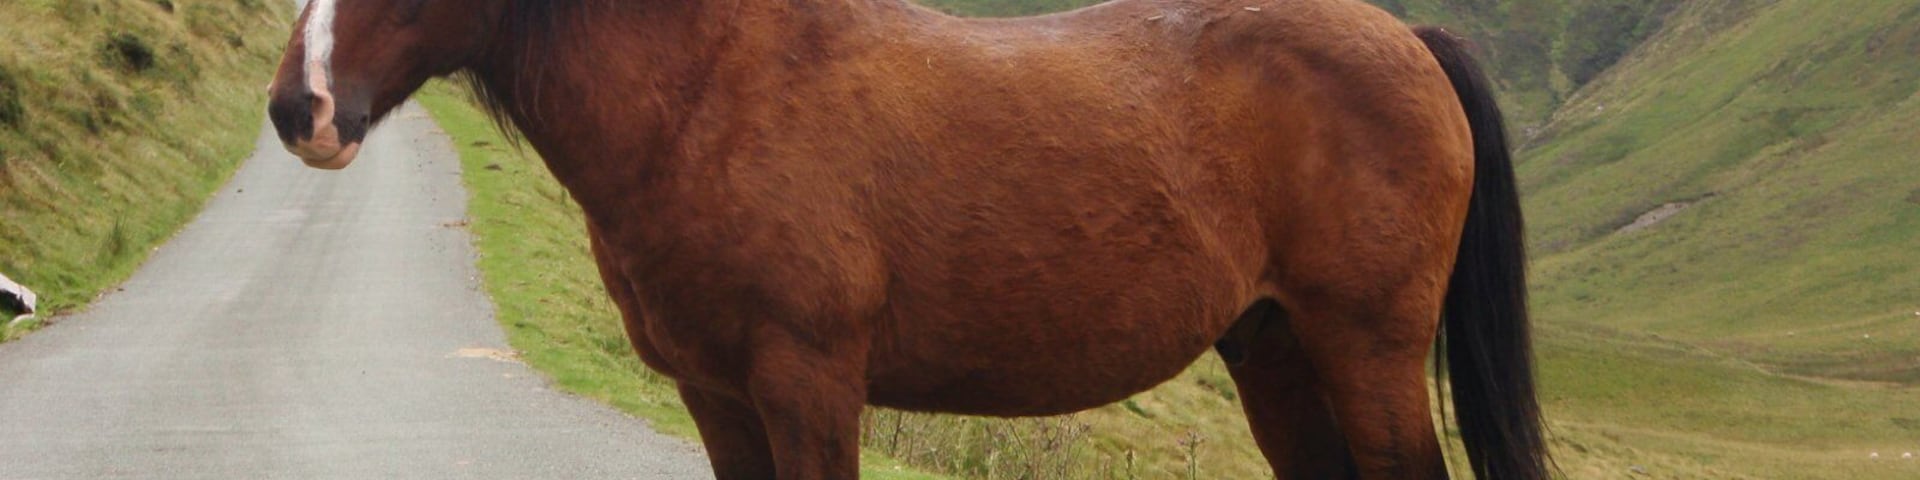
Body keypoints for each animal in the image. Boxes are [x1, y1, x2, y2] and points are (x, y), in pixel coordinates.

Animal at [265, 0, 1547, 478]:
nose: (300, 110)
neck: (710, 97)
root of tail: (1408, 38)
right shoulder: (718, 396)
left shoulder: (809, 381)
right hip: (1275, 350)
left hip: (1366, 351)